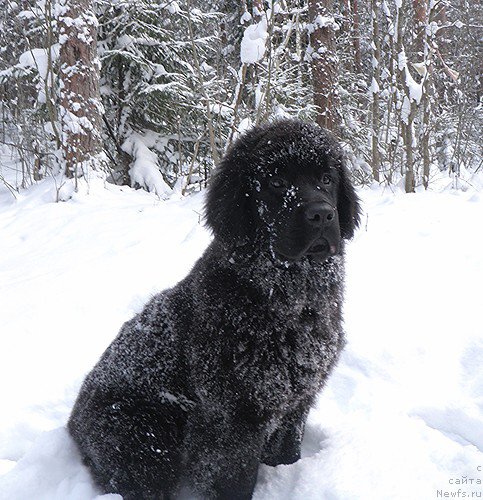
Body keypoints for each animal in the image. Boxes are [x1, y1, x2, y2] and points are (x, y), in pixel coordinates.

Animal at [70, 119, 362, 498]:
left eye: (327, 178)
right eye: (276, 183)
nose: (323, 214)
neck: (291, 302)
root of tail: (73, 423)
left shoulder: (297, 403)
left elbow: (287, 452)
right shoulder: (234, 419)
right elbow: (232, 481)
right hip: (144, 435)